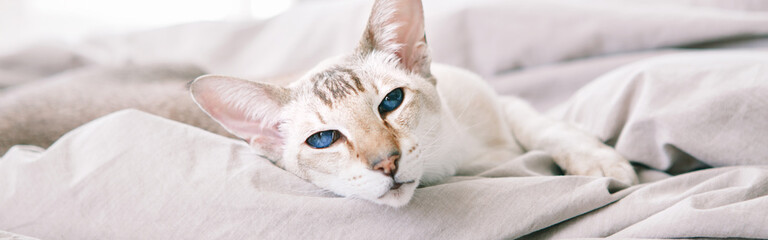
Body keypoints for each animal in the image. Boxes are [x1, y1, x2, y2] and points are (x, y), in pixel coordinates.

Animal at [190, 0, 636, 207]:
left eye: (391, 101)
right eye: (323, 140)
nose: (387, 163)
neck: (455, 160)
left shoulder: (502, 100)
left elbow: (548, 128)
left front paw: (603, 165)